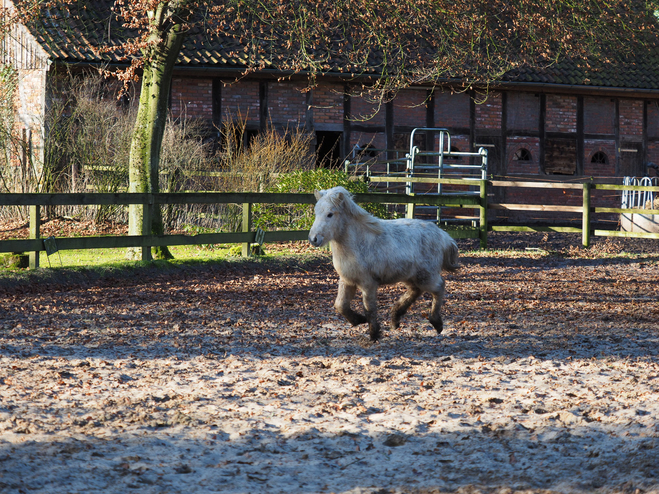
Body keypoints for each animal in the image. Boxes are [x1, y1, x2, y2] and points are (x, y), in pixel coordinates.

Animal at [308, 185, 458, 340]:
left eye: (330, 214)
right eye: (316, 212)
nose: (313, 239)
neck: (358, 244)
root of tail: (443, 236)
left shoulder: (368, 283)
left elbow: (369, 308)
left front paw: (374, 334)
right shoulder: (347, 280)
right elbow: (340, 305)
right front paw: (358, 320)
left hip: (426, 277)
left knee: (439, 287)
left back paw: (436, 323)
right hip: (411, 276)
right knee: (416, 290)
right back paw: (395, 318)